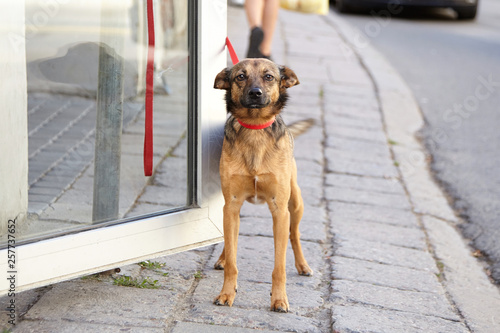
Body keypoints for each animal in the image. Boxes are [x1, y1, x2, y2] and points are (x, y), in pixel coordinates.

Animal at [212, 57, 312, 312]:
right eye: (240, 76)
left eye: (269, 77)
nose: (255, 93)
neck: (254, 127)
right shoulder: (232, 204)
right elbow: (233, 260)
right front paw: (226, 293)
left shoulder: (279, 209)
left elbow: (279, 266)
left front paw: (279, 299)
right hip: (228, 209)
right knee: (230, 238)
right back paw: (222, 258)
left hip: (295, 203)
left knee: (295, 234)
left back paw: (303, 265)